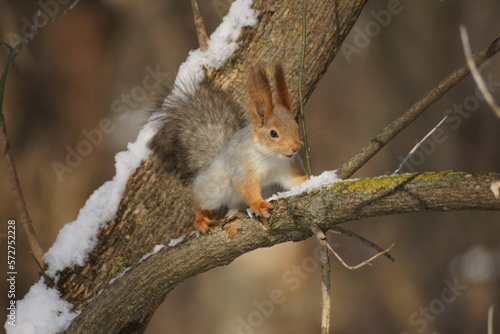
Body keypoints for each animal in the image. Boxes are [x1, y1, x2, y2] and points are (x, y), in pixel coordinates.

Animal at [148, 63, 308, 235]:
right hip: (216, 185)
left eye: (296, 126)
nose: (295, 148)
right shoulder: (243, 168)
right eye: (273, 133)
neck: (270, 157)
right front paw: (258, 205)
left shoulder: (287, 168)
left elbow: (295, 181)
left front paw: (310, 182)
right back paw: (200, 218)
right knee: (200, 198)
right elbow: (247, 189)